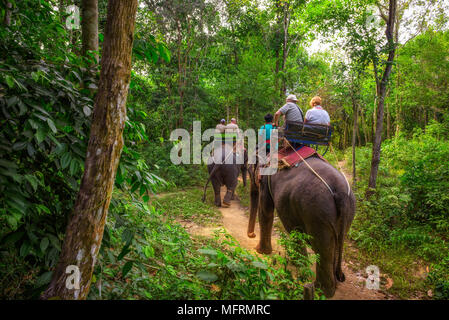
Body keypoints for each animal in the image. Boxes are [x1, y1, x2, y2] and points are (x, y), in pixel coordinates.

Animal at [245, 155, 354, 298]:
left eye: (249, 170)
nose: (252, 235)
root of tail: (341, 193)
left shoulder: (265, 181)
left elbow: (266, 210)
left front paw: (260, 252)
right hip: (345, 214)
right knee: (332, 245)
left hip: (317, 212)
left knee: (322, 247)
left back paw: (320, 290)